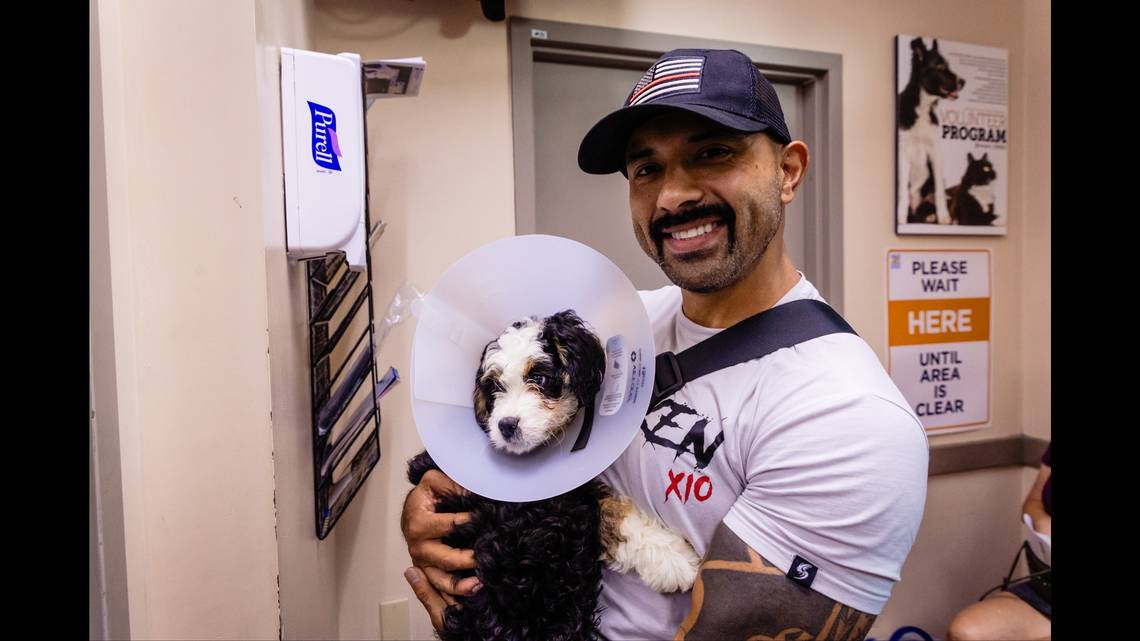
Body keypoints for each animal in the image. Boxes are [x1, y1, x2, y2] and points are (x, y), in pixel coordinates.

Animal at [405, 307, 697, 634]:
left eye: (540, 378)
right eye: (494, 389)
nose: (506, 425)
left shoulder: (569, 498)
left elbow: (608, 507)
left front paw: (670, 557)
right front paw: (676, 560)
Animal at [898, 37, 962, 225]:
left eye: (948, 65)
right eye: (940, 67)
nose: (963, 81)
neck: (923, 107)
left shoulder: (935, 150)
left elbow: (940, 189)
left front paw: (944, 216)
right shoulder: (903, 150)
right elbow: (902, 190)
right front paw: (900, 217)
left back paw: (933, 215)